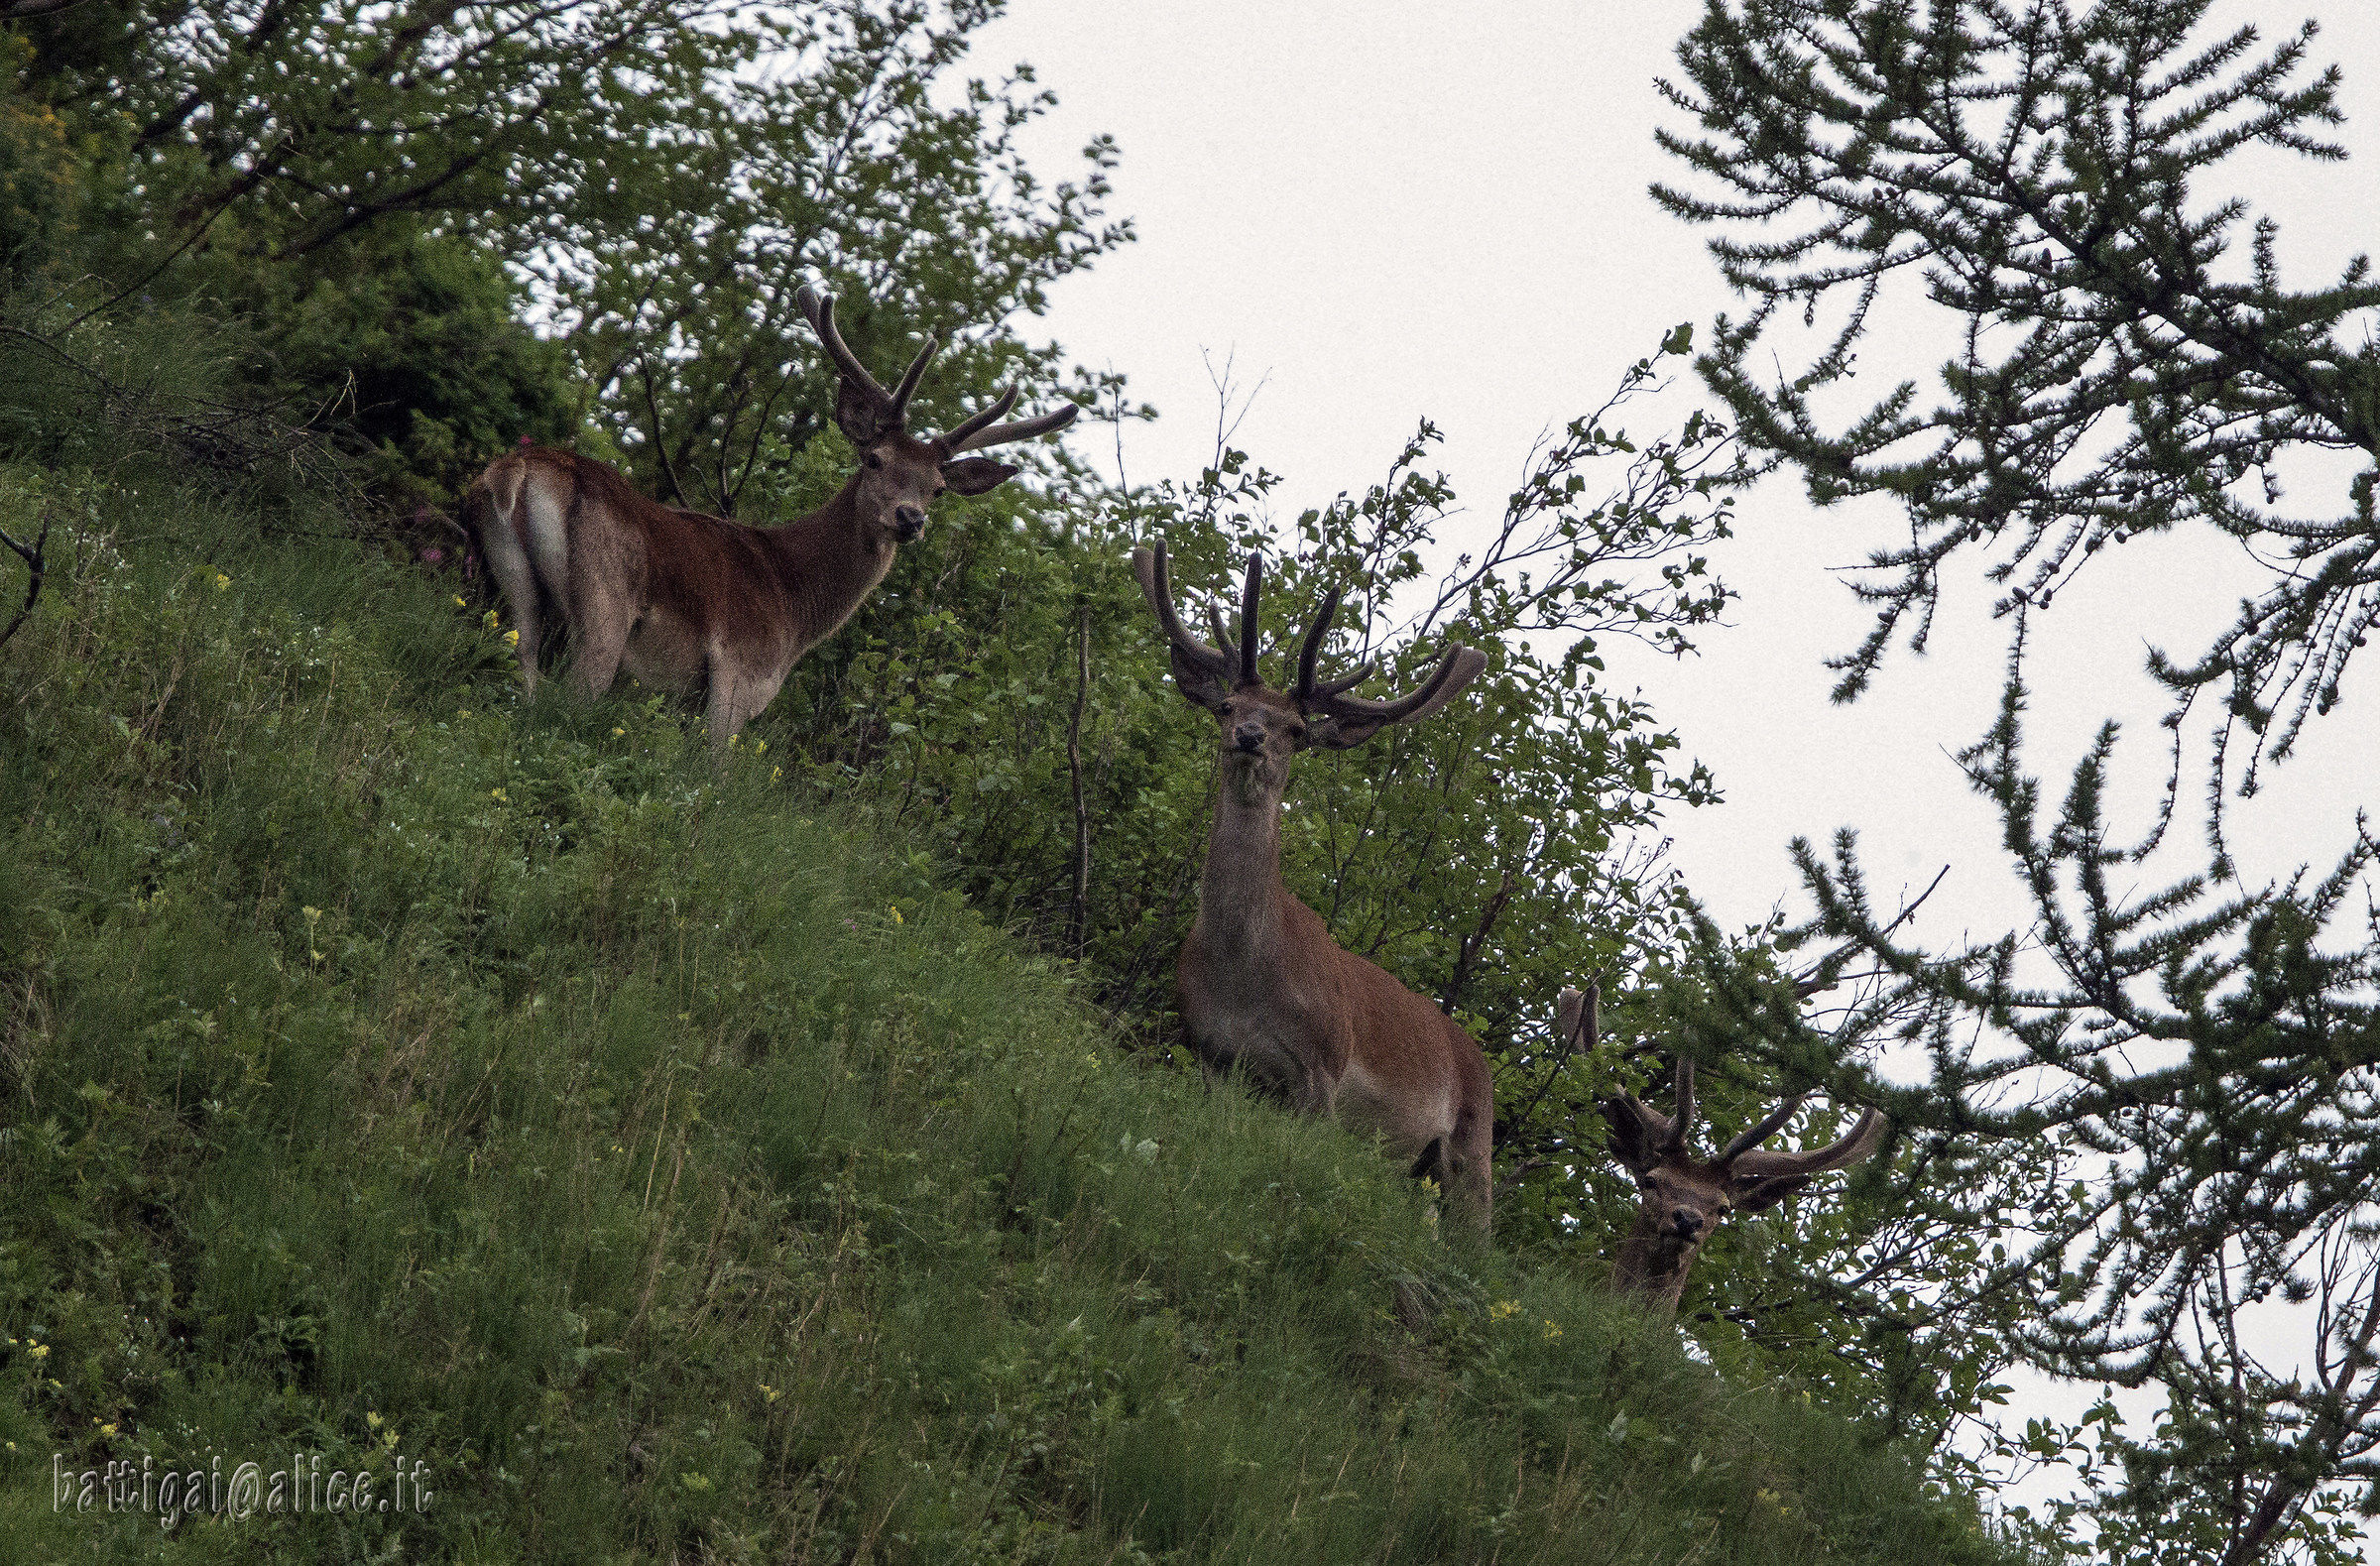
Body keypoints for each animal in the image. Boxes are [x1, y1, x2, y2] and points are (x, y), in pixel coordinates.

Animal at [465, 285, 1076, 749]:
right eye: (875, 458)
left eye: (939, 487)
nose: (909, 517)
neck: (794, 603)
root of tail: (521, 467)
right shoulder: (738, 677)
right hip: (605, 605)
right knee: (570, 696)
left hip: (512, 581)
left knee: (524, 677)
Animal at [1135, 539, 1497, 1230]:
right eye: (1227, 706)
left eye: (1297, 729)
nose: (1250, 736)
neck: (1243, 974)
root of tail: (1482, 1059)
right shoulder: (1209, 1050)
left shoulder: (1324, 1071)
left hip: (1474, 1148)